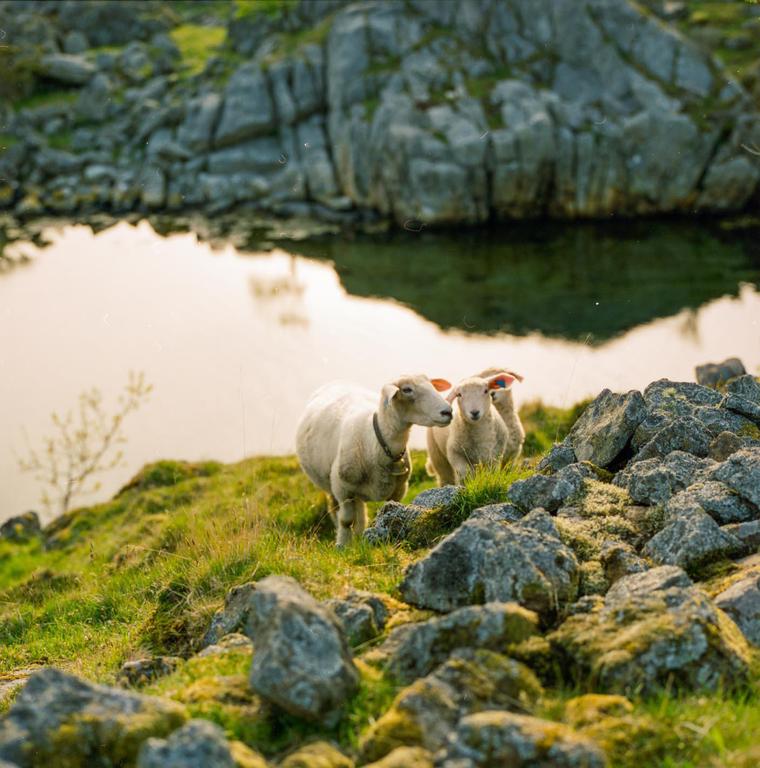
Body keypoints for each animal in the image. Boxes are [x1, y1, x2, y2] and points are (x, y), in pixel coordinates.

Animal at [296, 374, 453, 546]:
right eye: (407, 389)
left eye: (432, 385)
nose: (448, 411)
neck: (375, 442)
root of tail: (337, 382)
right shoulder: (342, 489)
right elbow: (346, 521)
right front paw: (343, 545)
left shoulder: (398, 490)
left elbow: (390, 511)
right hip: (331, 485)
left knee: (360, 514)